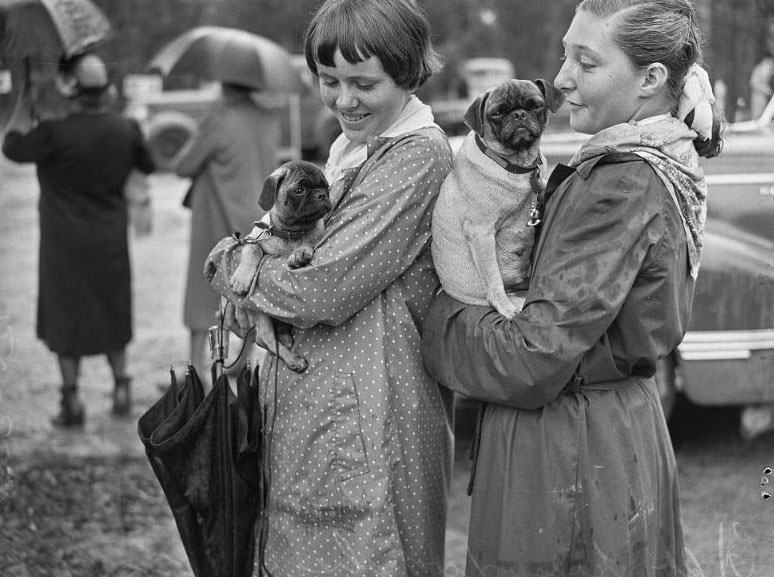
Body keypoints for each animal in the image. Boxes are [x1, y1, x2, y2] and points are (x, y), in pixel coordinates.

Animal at [227, 160, 330, 372]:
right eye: (299, 190)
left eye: (326, 187)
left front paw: (300, 253)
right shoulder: (253, 241)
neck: (292, 232)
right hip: (261, 315)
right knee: (265, 339)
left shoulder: (314, 235)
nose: (322, 195)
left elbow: (309, 243)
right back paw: (292, 358)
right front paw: (241, 279)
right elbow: (252, 252)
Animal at [430, 77, 564, 316]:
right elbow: (493, 279)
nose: (519, 114)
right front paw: (504, 307)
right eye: (498, 113)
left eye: (536, 105)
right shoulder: (481, 233)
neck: (517, 165)